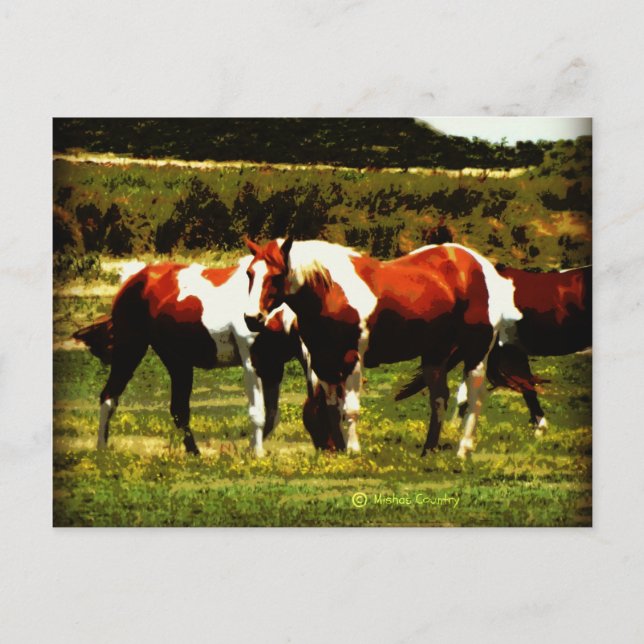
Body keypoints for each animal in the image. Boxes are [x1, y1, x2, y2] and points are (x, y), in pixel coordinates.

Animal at [73, 257, 314, 457]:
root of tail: (134, 277)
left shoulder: (274, 366)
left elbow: (272, 415)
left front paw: (249, 449)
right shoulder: (251, 363)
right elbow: (259, 413)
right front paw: (256, 453)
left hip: (177, 362)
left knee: (179, 409)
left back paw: (194, 452)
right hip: (129, 351)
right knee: (109, 396)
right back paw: (102, 448)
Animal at [243, 238, 522, 458]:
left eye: (276, 275)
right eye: (249, 273)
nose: (251, 318)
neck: (330, 291)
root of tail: (481, 266)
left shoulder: (352, 359)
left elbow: (351, 408)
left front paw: (353, 450)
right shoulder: (324, 362)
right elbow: (334, 407)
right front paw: (342, 449)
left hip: (476, 353)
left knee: (474, 399)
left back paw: (463, 450)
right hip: (435, 356)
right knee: (439, 399)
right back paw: (428, 450)